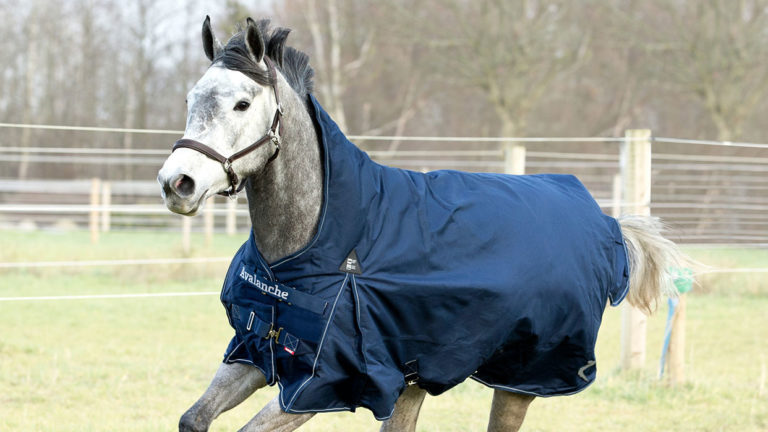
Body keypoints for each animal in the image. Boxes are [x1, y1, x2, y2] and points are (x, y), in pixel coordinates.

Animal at [157, 16, 687, 432]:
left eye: (243, 104)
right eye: (189, 99)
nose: (176, 183)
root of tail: (604, 221)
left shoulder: (323, 384)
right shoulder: (253, 352)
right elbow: (193, 418)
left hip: (522, 377)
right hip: (422, 382)